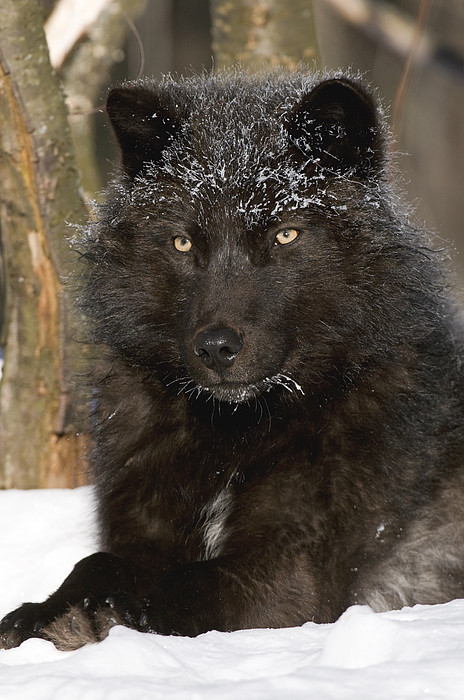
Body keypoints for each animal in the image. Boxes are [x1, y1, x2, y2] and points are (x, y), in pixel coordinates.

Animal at [1, 70, 464, 651]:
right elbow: (95, 563)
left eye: (284, 234)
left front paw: (120, 617)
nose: (216, 347)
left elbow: (193, 584)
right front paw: (41, 615)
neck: (234, 435)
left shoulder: (293, 571)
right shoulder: (143, 530)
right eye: (181, 243)